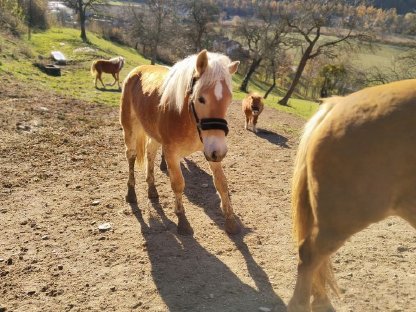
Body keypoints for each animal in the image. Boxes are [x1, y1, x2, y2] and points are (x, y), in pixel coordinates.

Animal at [118, 49, 240, 234]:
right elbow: (178, 183)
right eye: (201, 98)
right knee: (131, 156)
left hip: (154, 134)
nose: (219, 152)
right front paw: (182, 219)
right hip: (130, 129)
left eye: (229, 100)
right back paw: (131, 193)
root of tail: (137, 70)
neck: (187, 118)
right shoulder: (172, 153)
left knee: (150, 154)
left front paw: (230, 220)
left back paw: (152, 189)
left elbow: (221, 183)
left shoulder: (211, 150)